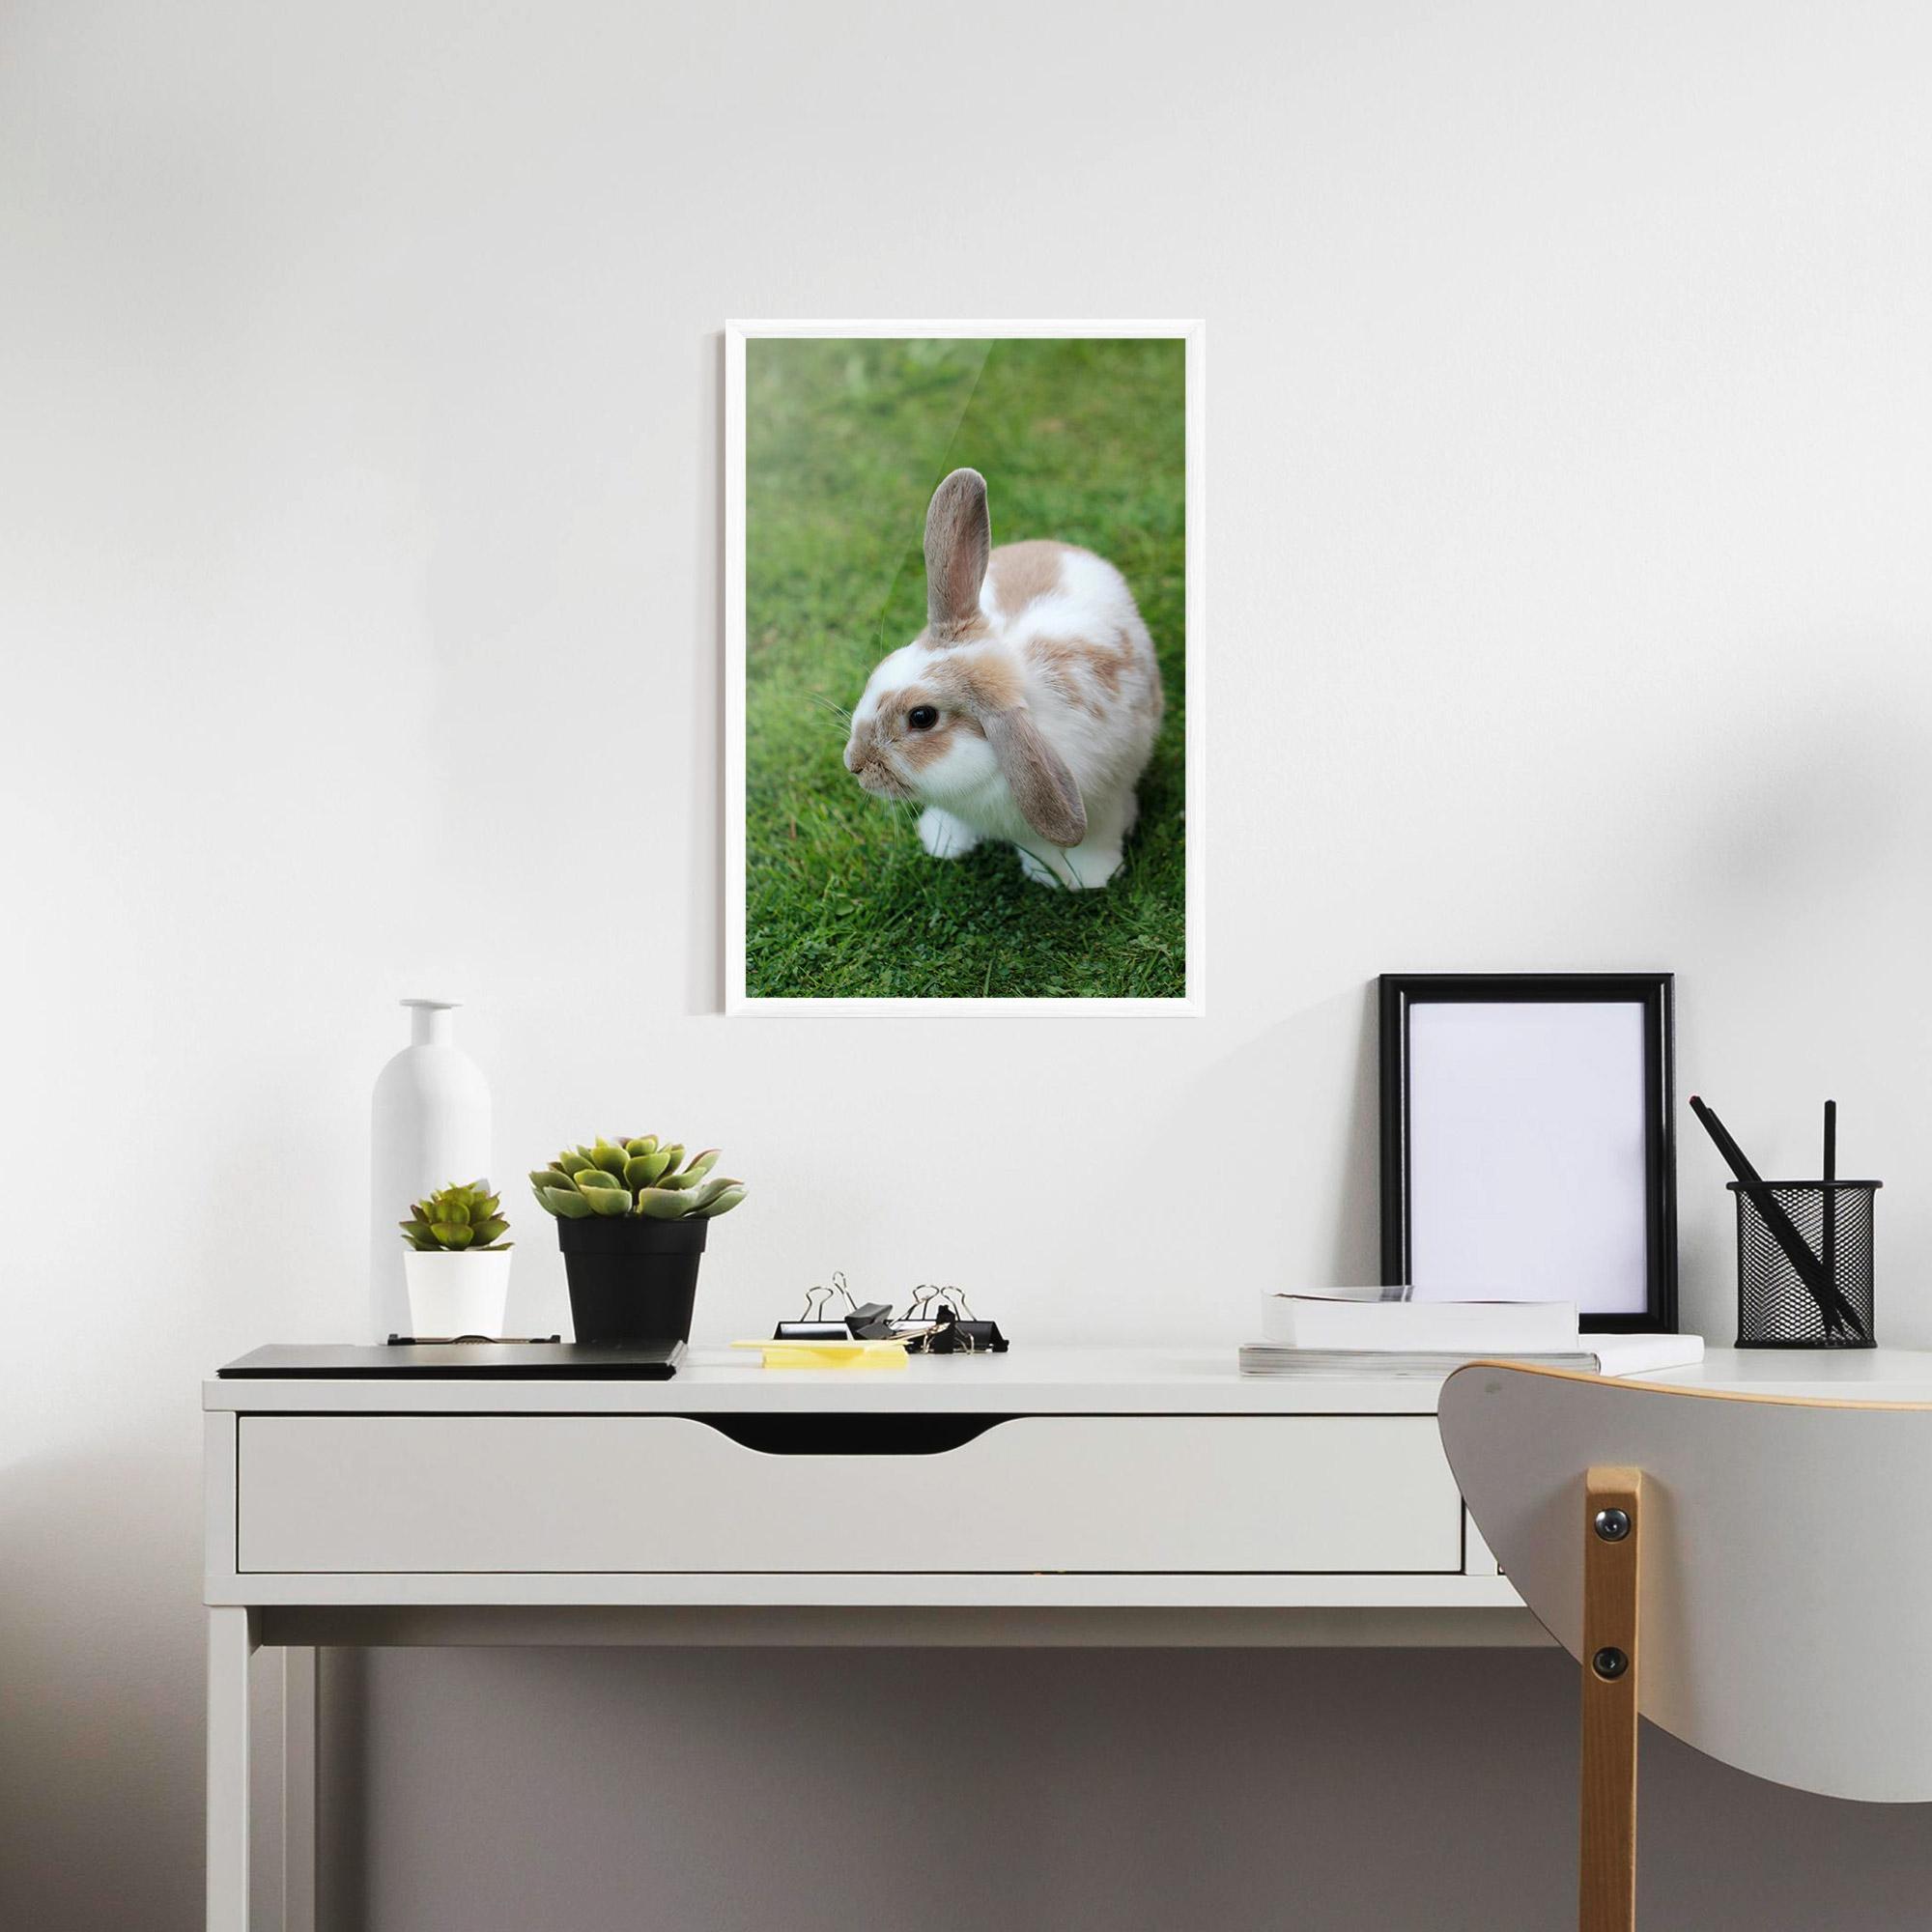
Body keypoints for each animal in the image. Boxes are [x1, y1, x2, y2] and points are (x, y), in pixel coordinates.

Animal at [842, 468, 1164, 889]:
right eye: (884, 667)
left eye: (922, 717)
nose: (854, 764)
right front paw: (942, 842)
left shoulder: (1102, 801)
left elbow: (1094, 839)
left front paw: (1089, 877)